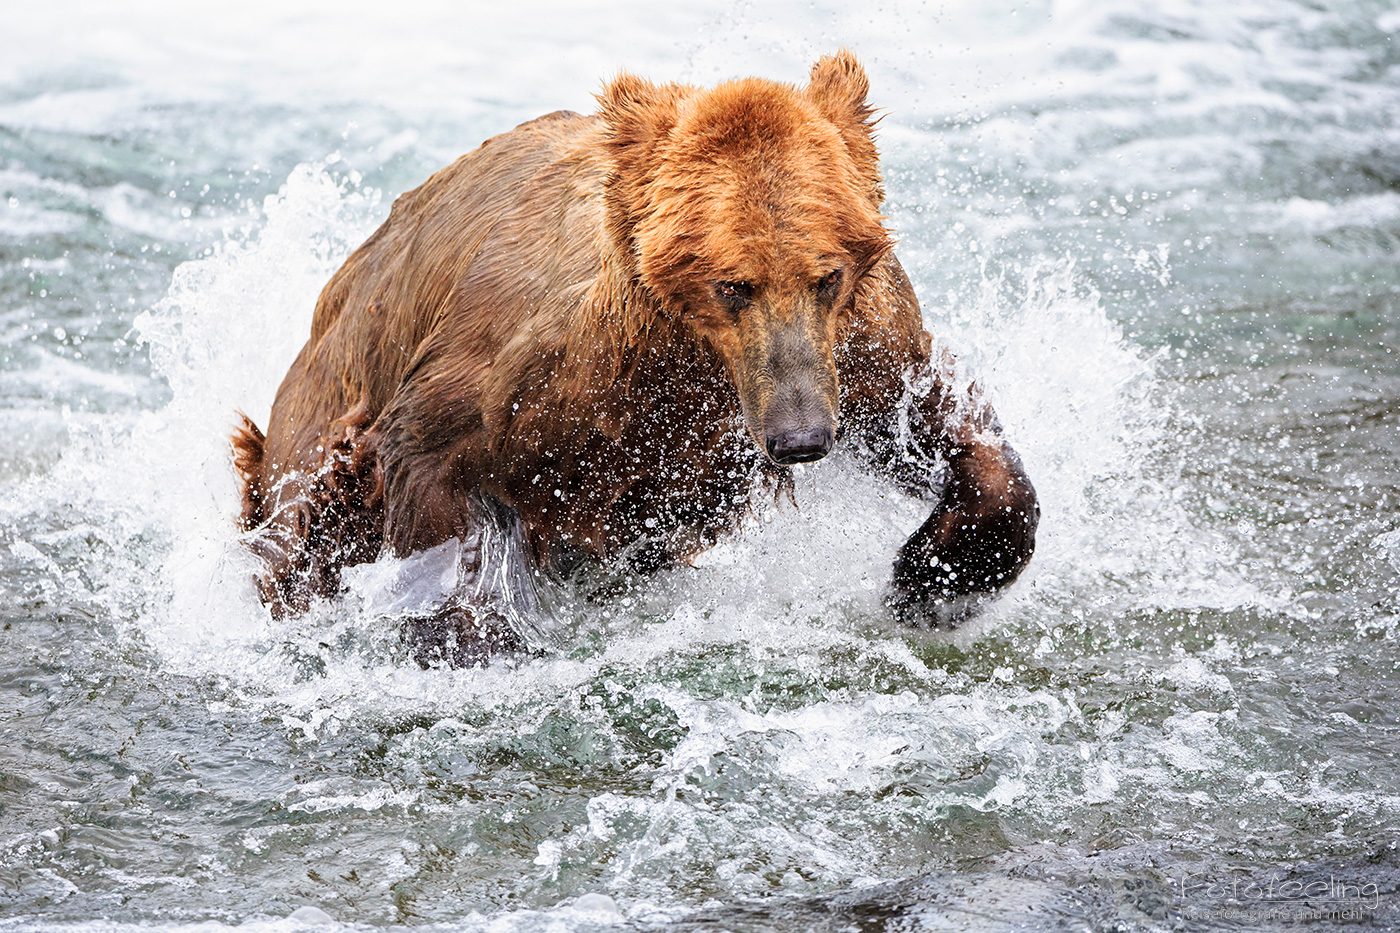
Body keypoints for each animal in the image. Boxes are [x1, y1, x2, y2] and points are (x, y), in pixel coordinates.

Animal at [230, 51, 1039, 666]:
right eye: (733, 284)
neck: (684, 353)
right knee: (302, 535)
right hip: (315, 433)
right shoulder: (532, 366)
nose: (801, 436)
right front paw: (469, 634)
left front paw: (930, 580)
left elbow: (934, 419)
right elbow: (432, 469)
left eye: (826, 274)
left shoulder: (854, 346)